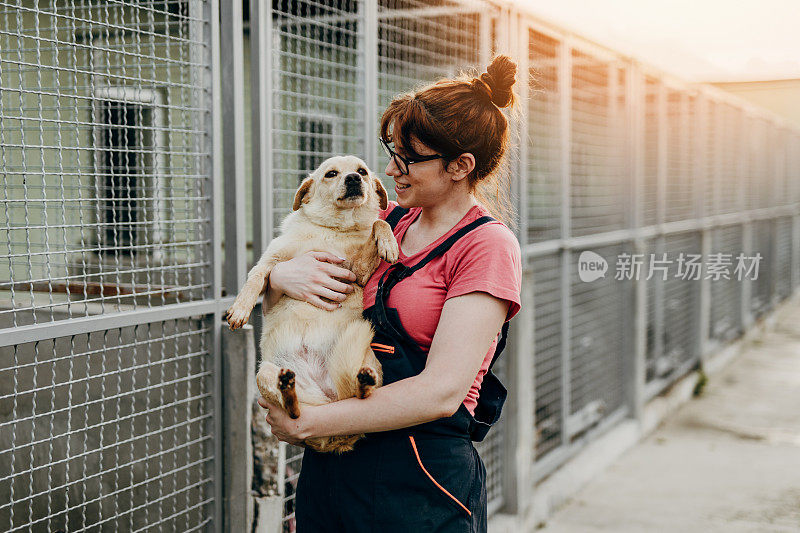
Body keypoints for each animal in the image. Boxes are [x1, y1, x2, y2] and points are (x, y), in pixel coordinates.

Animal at [225, 155, 400, 454]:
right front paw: (240, 309)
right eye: (331, 174)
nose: (354, 178)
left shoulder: (357, 272)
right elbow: (255, 277)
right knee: (295, 412)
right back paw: (288, 389)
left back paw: (362, 383)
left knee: (360, 396)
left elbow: (379, 225)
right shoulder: (272, 261)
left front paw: (388, 243)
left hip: (368, 361)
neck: (333, 230)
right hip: (264, 373)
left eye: (362, 171)